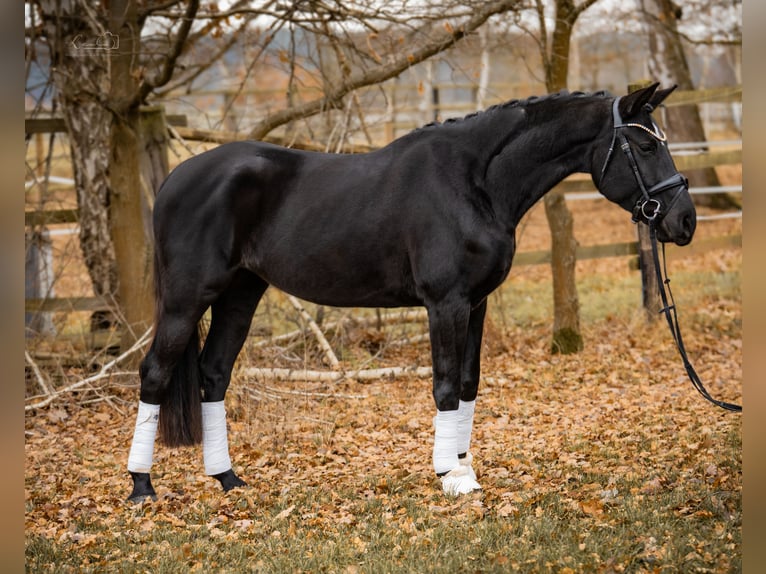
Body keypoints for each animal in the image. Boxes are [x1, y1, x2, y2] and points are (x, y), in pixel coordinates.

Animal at [127, 83, 696, 501]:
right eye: (646, 145)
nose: (684, 222)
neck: (475, 182)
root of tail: (176, 178)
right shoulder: (445, 303)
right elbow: (444, 386)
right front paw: (450, 477)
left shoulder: (476, 303)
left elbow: (467, 383)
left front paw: (465, 468)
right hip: (187, 297)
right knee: (155, 373)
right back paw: (141, 487)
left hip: (241, 294)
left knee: (214, 374)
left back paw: (226, 478)